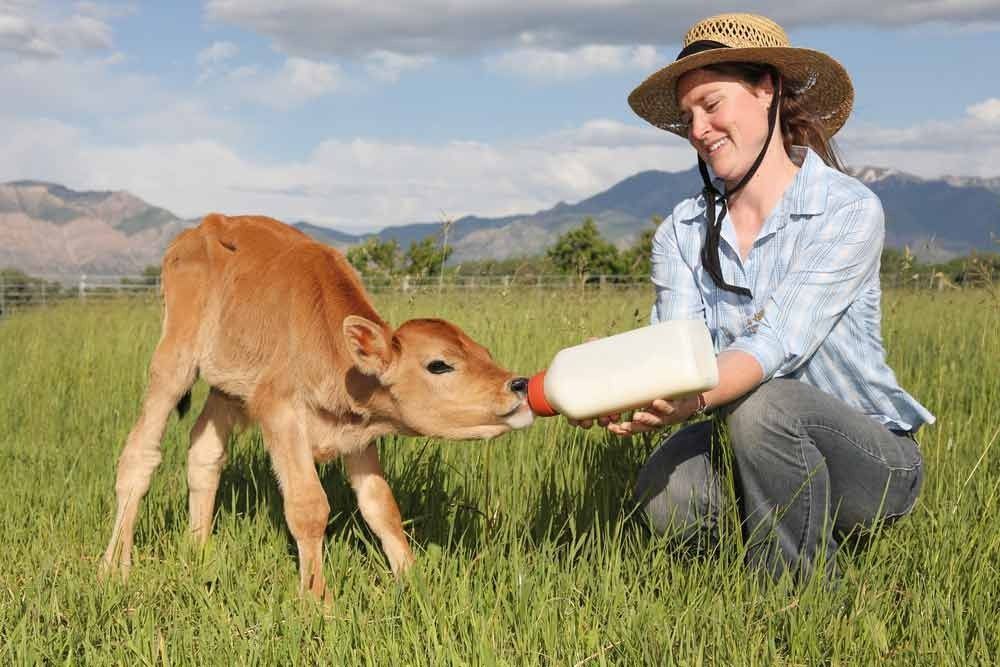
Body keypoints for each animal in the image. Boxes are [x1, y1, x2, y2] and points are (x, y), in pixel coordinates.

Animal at [99, 213, 534, 598]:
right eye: (439, 364)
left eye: (484, 353)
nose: (519, 385)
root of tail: (203, 226)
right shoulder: (280, 411)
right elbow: (308, 506)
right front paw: (317, 601)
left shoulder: (358, 433)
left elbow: (381, 506)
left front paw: (413, 582)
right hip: (174, 359)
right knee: (139, 454)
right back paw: (114, 567)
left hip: (229, 385)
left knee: (204, 450)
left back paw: (199, 551)